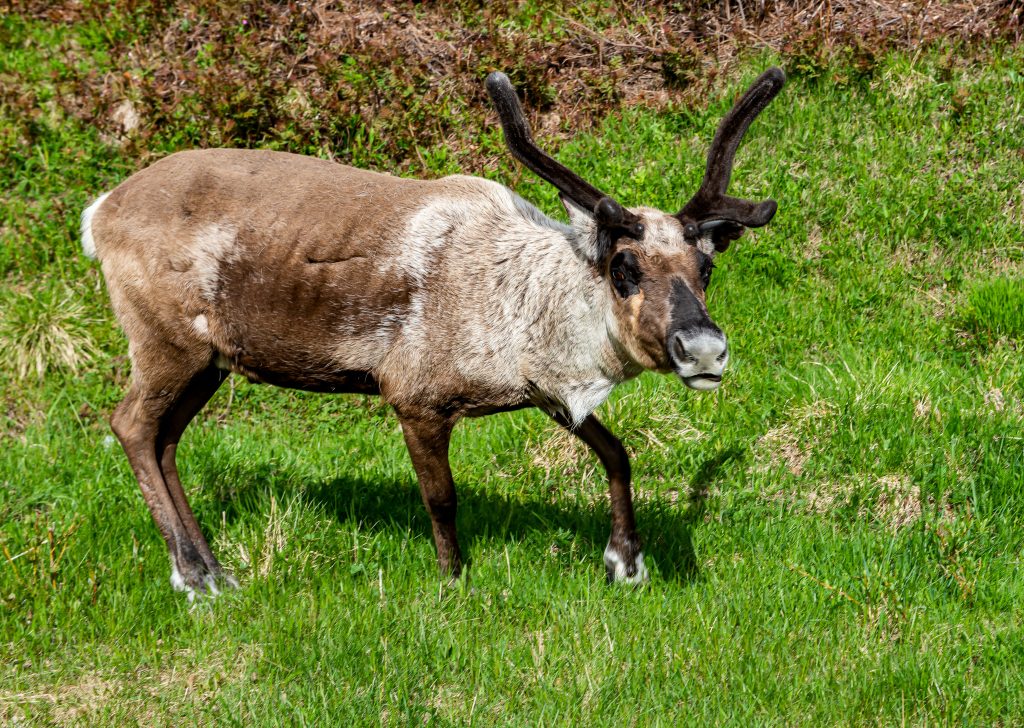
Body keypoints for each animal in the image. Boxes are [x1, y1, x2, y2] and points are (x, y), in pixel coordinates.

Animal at [81, 67, 784, 598]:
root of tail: (98, 212)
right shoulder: (415, 396)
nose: (703, 349)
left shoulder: (546, 391)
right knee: (132, 425)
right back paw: (193, 576)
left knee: (166, 437)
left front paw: (626, 563)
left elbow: (617, 452)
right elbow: (441, 497)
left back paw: (212, 569)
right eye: (623, 267)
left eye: (706, 266)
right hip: (166, 343)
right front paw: (453, 581)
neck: (518, 305)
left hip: (210, 359)